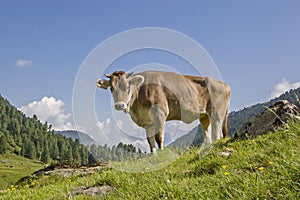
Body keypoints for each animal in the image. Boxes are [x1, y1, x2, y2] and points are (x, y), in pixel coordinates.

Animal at [96, 70, 230, 153]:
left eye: (127, 87)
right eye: (111, 88)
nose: (119, 105)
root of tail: (225, 85)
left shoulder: (160, 114)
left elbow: (158, 137)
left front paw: (161, 153)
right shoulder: (147, 121)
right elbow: (150, 140)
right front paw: (153, 155)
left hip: (217, 113)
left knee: (217, 134)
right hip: (204, 116)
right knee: (208, 135)